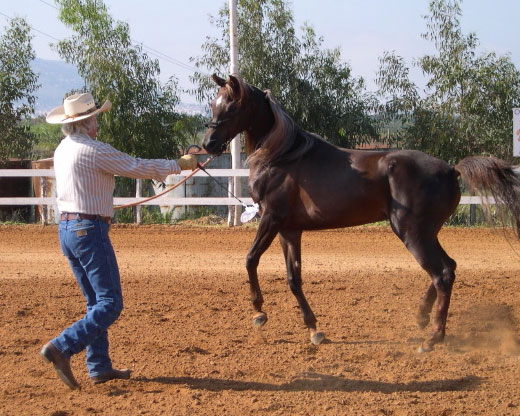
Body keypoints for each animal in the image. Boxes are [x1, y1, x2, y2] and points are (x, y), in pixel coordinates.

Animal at [202, 74, 520, 352]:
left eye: (232, 105)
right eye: (213, 103)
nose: (208, 144)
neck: (281, 155)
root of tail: (451, 169)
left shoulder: (270, 219)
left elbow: (250, 259)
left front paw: (259, 312)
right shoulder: (289, 230)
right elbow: (294, 278)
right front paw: (314, 329)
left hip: (412, 233)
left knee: (441, 274)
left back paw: (431, 339)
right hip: (427, 233)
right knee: (449, 268)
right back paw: (421, 317)